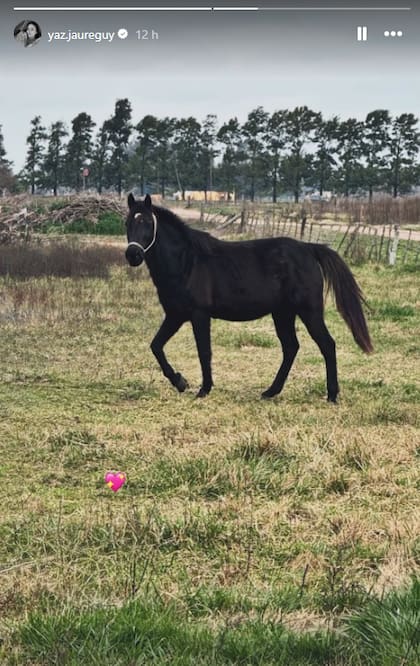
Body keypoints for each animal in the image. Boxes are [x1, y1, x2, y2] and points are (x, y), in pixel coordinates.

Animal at [125, 194, 372, 402]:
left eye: (147, 223)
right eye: (127, 223)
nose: (132, 255)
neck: (186, 262)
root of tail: (309, 248)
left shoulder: (199, 314)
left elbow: (204, 351)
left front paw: (203, 389)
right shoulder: (175, 315)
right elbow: (156, 346)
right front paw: (180, 382)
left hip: (309, 311)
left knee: (327, 345)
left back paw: (331, 395)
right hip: (283, 314)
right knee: (291, 348)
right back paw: (271, 392)